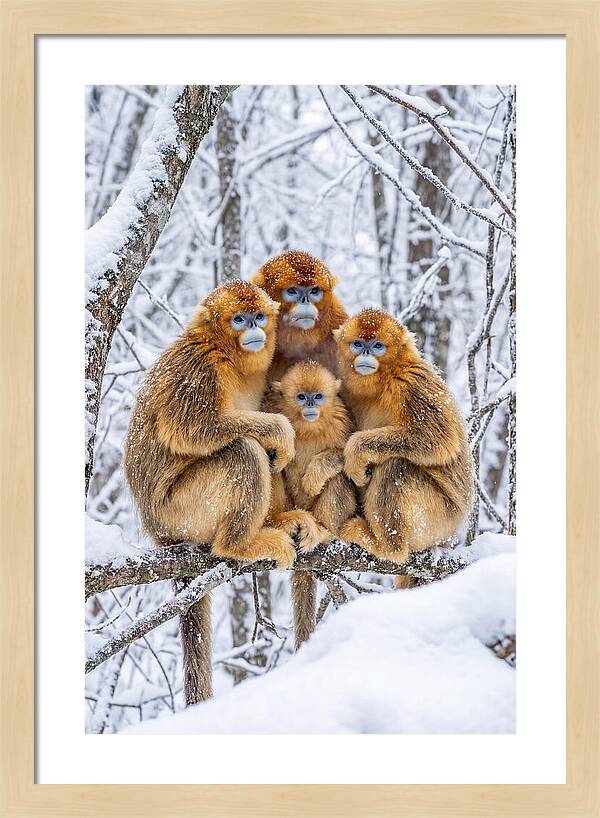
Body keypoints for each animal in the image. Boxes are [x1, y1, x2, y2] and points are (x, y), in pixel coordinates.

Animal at [123, 280, 299, 704]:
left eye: (258, 316)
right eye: (239, 319)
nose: (254, 329)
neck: (228, 356)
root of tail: (159, 532)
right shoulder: (199, 368)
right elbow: (194, 430)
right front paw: (278, 428)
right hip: (181, 511)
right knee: (244, 451)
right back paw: (238, 544)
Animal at [267, 361, 357, 648]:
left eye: (317, 396)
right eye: (300, 396)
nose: (309, 405)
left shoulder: (342, 419)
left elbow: (349, 457)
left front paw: (314, 476)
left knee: (339, 477)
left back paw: (325, 532)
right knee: (272, 463)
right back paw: (281, 522)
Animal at [333, 309, 473, 587]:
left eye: (377, 346)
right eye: (358, 344)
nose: (366, 353)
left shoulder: (411, 383)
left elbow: (439, 439)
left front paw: (356, 451)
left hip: (439, 519)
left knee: (396, 467)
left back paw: (387, 547)